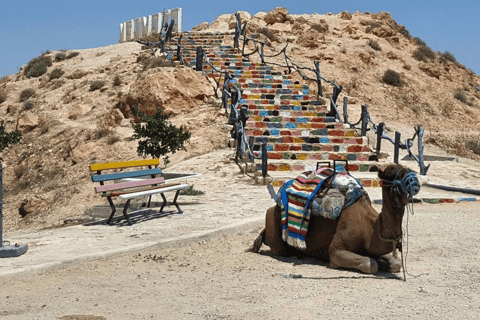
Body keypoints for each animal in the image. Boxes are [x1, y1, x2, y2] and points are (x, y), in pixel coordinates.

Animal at [248, 164, 420, 274]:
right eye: (393, 173)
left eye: (407, 169)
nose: (415, 182)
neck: (370, 227)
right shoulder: (336, 251)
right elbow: (370, 263)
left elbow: (395, 263)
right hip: (275, 227)